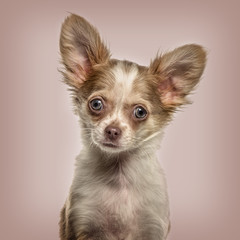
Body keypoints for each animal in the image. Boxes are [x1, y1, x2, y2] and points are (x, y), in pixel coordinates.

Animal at [58, 13, 206, 240]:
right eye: (96, 104)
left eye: (140, 112)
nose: (112, 130)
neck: (119, 178)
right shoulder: (81, 223)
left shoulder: (152, 227)